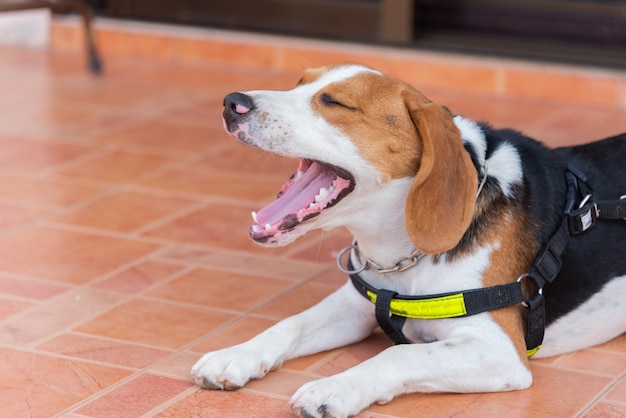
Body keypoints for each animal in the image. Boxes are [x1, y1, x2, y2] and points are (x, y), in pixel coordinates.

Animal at [190, 62, 624, 418]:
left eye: (335, 102)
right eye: (299, 83)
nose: (233, 102)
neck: (403, 256)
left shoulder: (501, 352)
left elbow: (398, 355)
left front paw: (334, 388)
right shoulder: (355, 306)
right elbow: (289, 324)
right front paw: (235, 356)